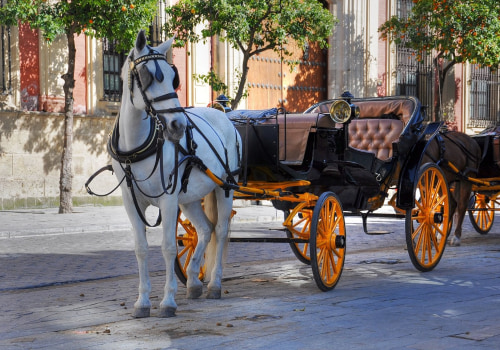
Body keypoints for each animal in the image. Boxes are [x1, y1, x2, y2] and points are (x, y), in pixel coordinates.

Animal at [110, 31, 242, 318]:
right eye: (147, 75)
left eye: (174, 77)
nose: (178, 125)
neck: (138, 146)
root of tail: (223, 115)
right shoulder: (131, 202)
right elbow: (141, 249)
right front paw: (142, 301)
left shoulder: (168, 200)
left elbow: (168, 247)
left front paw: (168, 301)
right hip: (190, 197)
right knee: (204, 230)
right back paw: (193, 281)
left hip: (225, 187)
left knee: (221, 230)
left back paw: (214, 285)